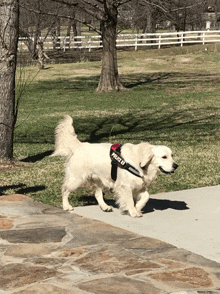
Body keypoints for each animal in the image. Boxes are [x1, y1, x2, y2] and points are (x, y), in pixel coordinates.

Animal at [50, 116, 178, 217]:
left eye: (172, 155)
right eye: (164, 157)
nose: (176, 166)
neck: (140, 161)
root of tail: (80, 145)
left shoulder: (139, 184)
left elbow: (146, 196)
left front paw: (137, 208)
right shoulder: (124, 186)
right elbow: (129, 200)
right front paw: (133, 211)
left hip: (98, 179)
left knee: (97, 194)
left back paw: (104, 206)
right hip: (76, 179)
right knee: (64, 190)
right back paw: (66, 206)